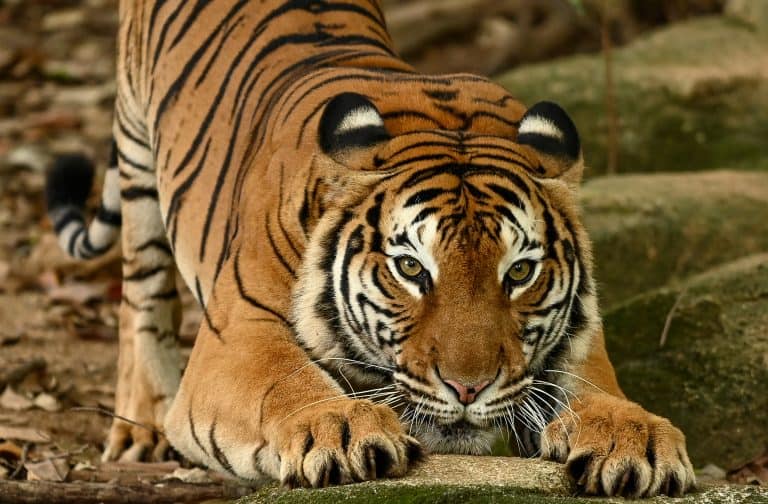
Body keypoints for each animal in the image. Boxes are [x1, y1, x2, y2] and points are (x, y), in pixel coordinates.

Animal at [45, 0, 695, 497]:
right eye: (410, 268)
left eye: (519, 273)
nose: (469, 389)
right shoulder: (237, 340)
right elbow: (284, 381)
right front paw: (338, 427)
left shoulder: (580, 341)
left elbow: (599, 392)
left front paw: (636, 438)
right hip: (136, 153)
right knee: (141, 293)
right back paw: (140, 427)